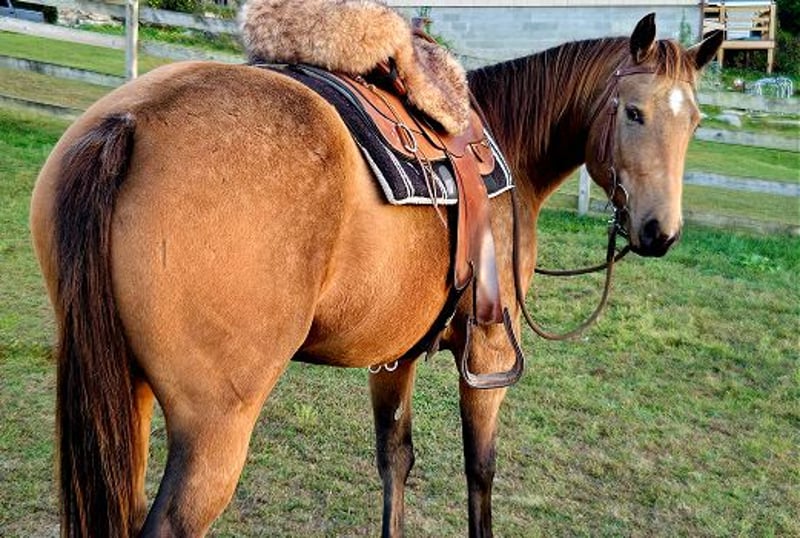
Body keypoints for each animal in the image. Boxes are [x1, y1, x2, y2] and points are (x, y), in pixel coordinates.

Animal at [30, 13, 721, 537]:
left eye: (694, 122)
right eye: (633, 113)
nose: (660, 232)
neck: (506, 148)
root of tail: (131, 122)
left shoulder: (394, 354)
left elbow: (395, 461)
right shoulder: (490, 353)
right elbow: (480, 470)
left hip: (128, 393)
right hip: (214, 430)